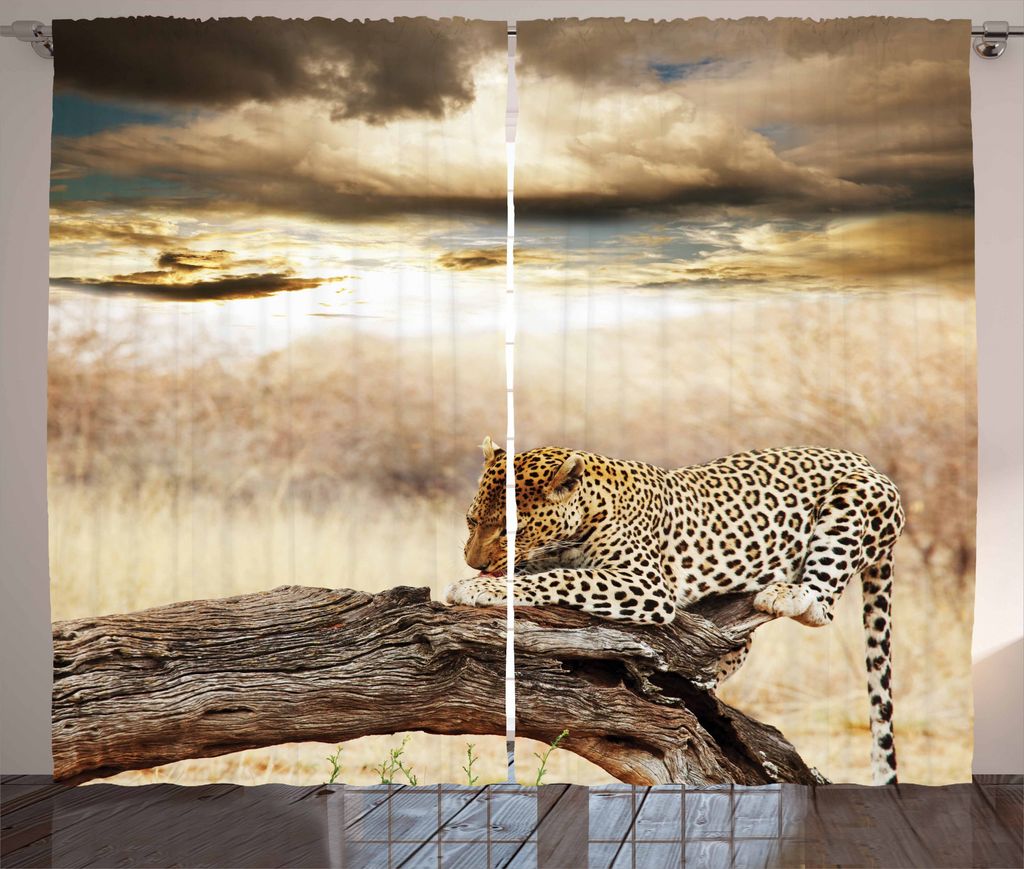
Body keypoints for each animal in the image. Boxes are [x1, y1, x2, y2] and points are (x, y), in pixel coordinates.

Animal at [444, 436, 905, 785]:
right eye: (471, 521)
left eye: (511, 529)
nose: (472, 560)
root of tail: (867, 461)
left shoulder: (644, 583)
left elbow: (561, 579)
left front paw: (477, 587)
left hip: (852, 500)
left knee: (822, 605)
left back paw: (787, 594)